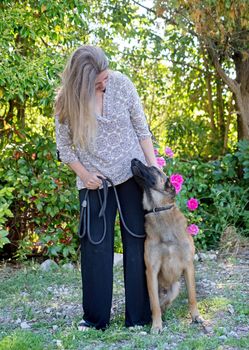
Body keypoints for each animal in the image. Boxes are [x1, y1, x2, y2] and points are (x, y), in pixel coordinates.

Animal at [130, 159, 202, 334]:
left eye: (153, 168)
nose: (134, 159)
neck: (158, 210)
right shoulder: (151, 270)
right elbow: (155, 304)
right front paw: (157, 325)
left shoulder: (188, 266)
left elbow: (192, 297)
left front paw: (195, 316)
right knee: (158, 304)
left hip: (175, 288)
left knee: (166, 304)